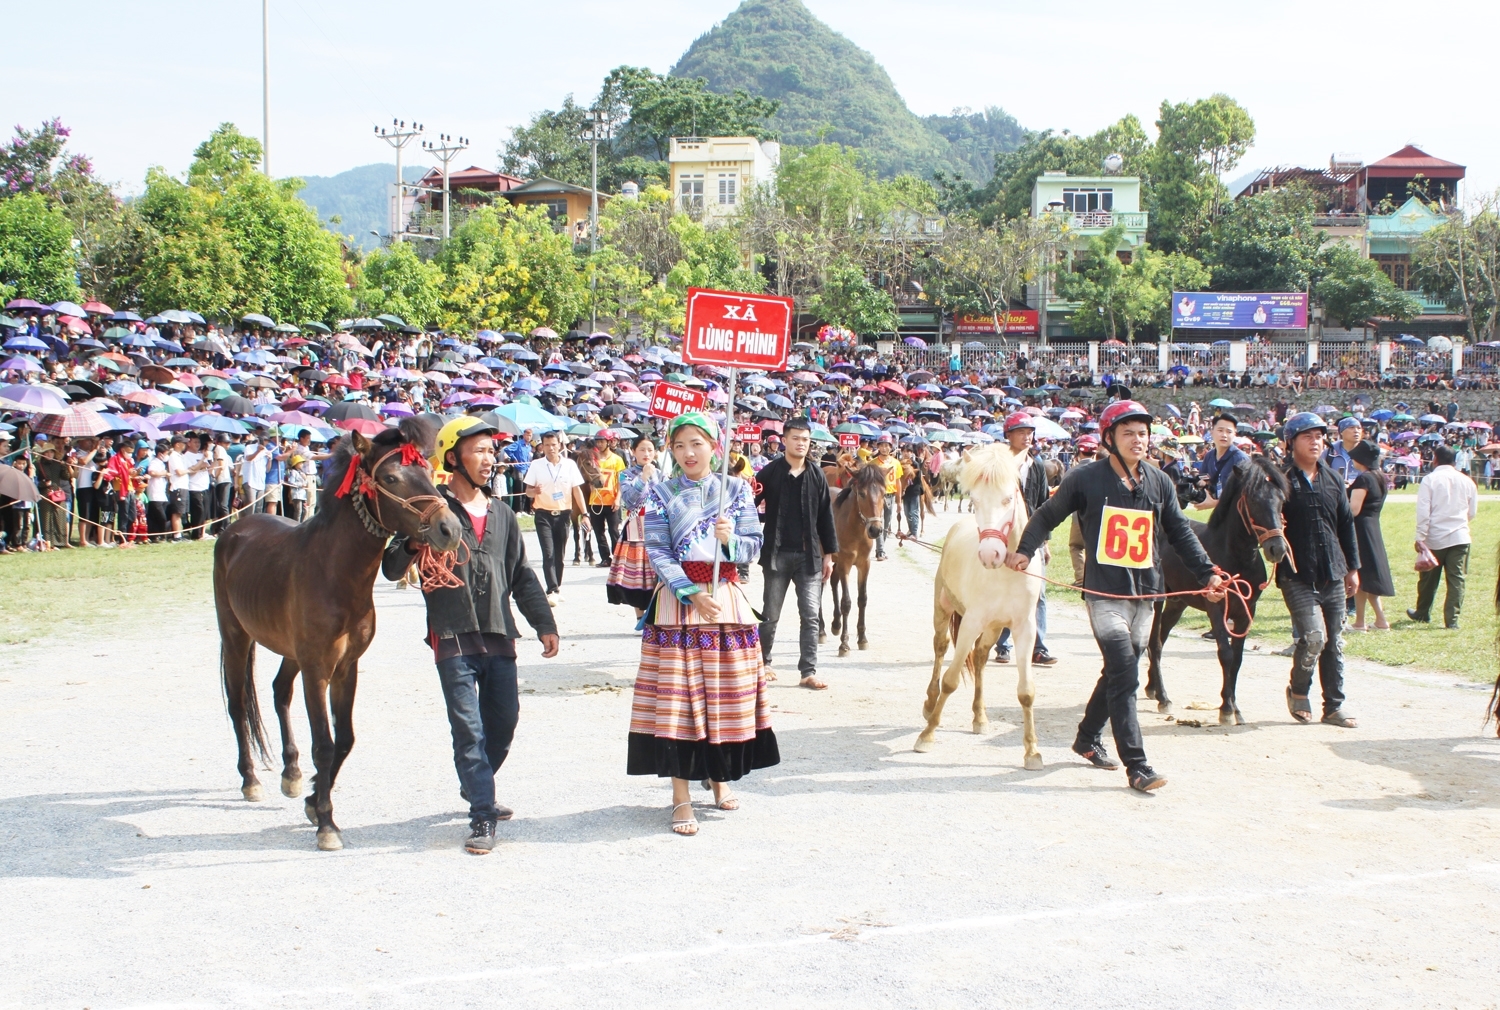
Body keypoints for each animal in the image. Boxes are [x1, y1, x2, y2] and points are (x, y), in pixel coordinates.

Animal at [211, 417, 456, 852]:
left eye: (429, 471)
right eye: (391, 477)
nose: (449, 528)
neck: (333, 571)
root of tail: (235, 528)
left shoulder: (345, 667)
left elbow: (344, 739)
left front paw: (312, 799)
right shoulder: (317, 668)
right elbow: (324, 744)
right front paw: (326, 822)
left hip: (290, 652)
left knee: (279, 692)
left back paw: (291, 774)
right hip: (237, 636)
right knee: (239, 706)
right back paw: (251, 779)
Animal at [822, 462, 888, 654]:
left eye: (883, 493)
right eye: (862, 493)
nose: (875, 530)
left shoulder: (863, 564)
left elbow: (862, 599)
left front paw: (862, 638)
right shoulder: (845, 563)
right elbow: (846, 602)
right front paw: (844, 643)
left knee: (833, 582)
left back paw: (835, 624)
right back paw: (821, 630)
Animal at [912, 444, 1044, 768]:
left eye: (1008, 498)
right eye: (974, 499)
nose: (990, 554)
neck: (1007, 573)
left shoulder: (1024, 629)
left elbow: (1026, 692)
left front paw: (1031, 751)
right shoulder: (971, 622)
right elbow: (950, 680)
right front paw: (927, 735)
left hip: (994, 628)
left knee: (982, 658)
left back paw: (980, 716)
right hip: (943, 610)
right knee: (940, 650)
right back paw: (930, 702)